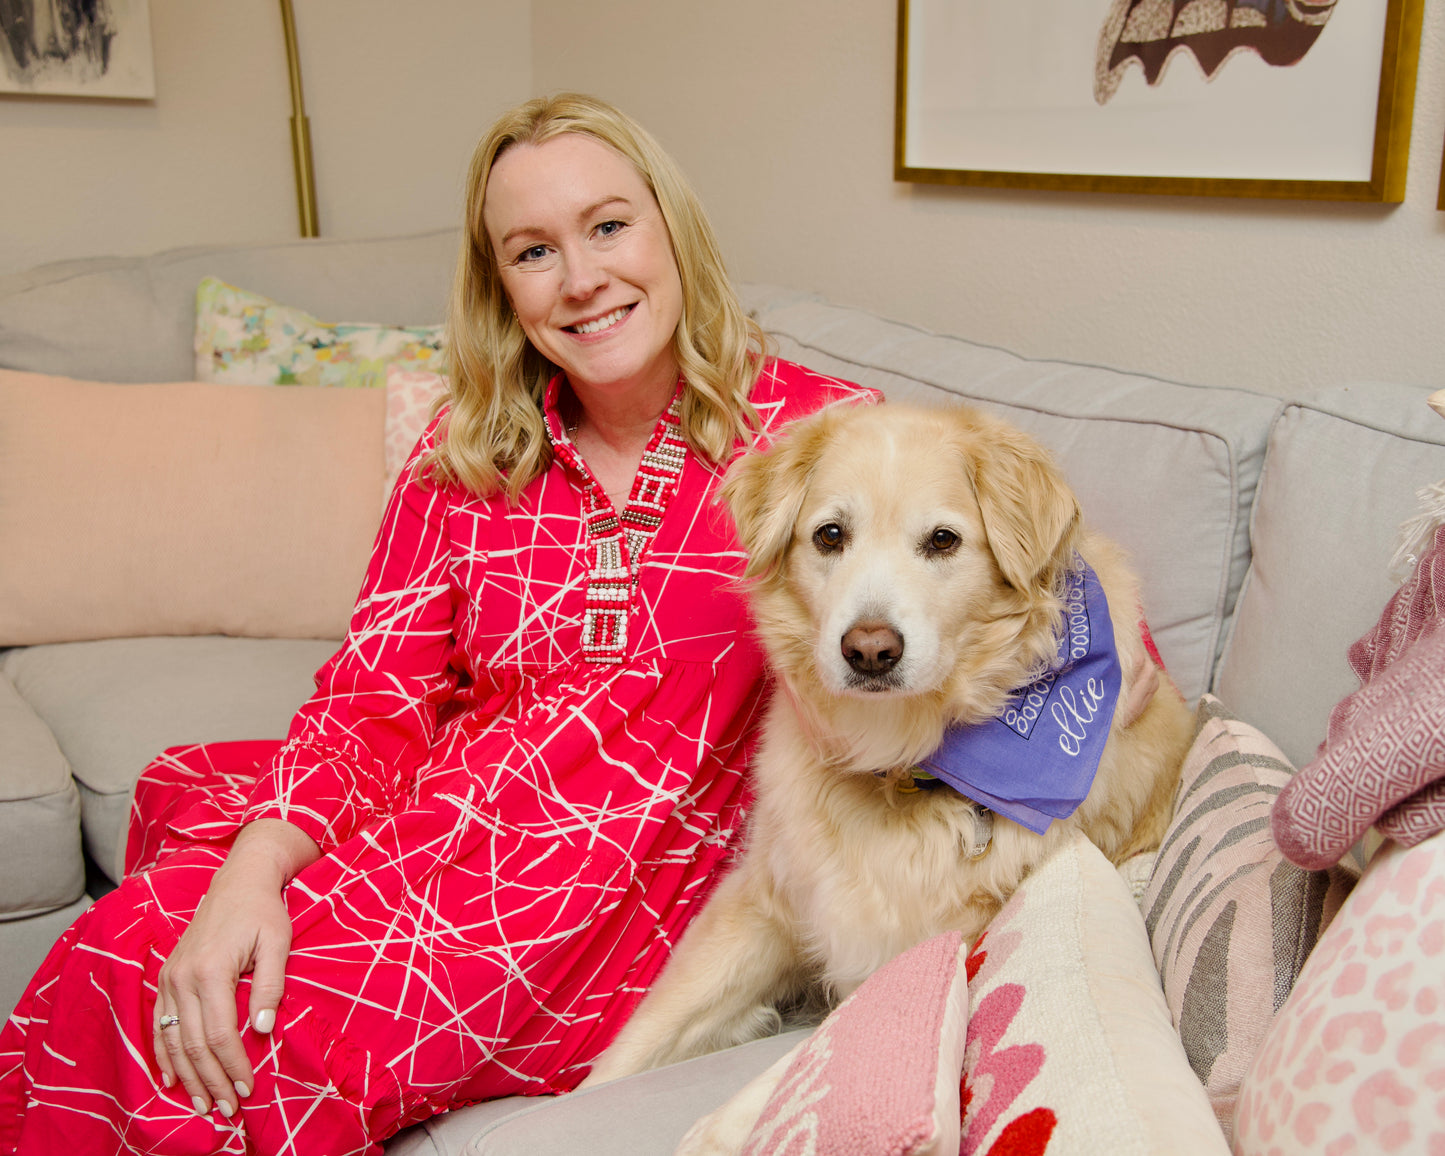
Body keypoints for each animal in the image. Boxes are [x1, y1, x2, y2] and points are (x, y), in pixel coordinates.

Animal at [580, 401, 1190, 1132]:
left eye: (943, 541)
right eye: (829, 535)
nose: (869, 650)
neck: (898, 761)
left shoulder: (921, 952)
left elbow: (779, 1084)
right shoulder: (762, 908)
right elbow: (630, 1052)